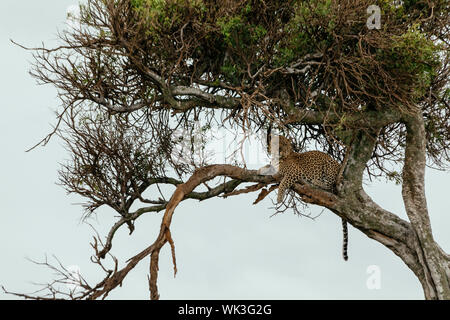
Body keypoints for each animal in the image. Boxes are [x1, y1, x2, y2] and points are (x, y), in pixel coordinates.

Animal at [268, 134, 350, 262]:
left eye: (284, 144)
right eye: (276, 144)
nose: (280, 150)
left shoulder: (294, 172)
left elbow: (283, 183)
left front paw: (279, 197)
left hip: (328, 166)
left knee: (330, 187)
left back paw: (315, 182)